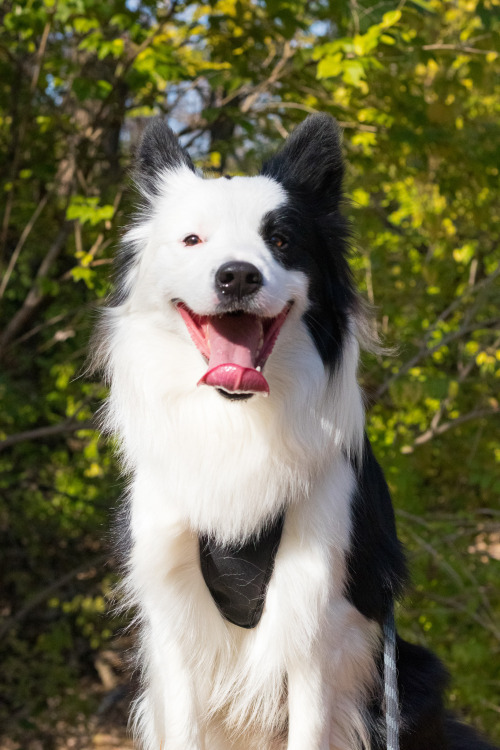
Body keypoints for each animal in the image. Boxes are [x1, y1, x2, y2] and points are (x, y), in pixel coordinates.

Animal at [94, 113, 496, 750]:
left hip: (411, 678)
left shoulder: (315, 628)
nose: (237, 275)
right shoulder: (172, 621)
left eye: (280, 240)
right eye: (192, 240)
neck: (236, 419)